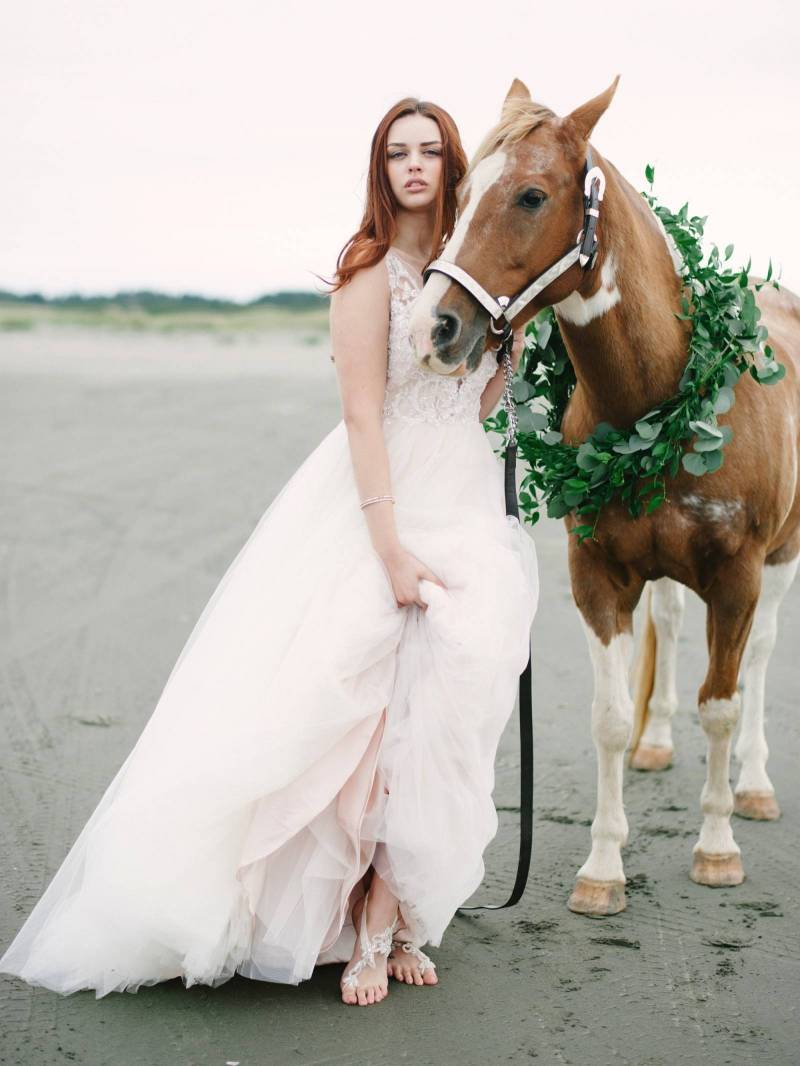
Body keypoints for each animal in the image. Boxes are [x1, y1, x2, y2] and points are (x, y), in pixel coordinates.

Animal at [409, 75, 797, 916]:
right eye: (460, 195)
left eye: (531, 195)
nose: (434, 328)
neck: (659, 397)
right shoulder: (599, 575)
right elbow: (610, 719)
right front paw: (603, 866)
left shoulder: (738, 577)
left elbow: (722, 704)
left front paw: (716, 848)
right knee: (672, 625)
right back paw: (659, 744)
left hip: (782, 558)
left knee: (759, 659)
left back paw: (753, 785)